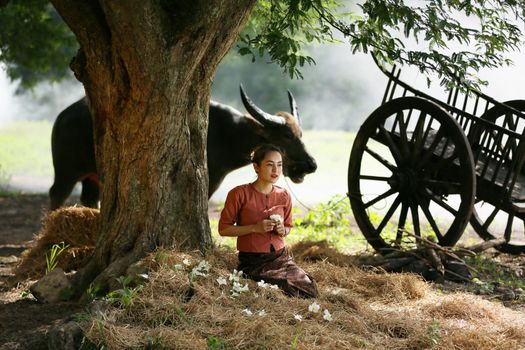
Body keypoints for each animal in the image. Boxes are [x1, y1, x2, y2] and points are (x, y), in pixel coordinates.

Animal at [50, 86, 316, 209]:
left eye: (300, 134)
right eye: (285, 136)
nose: (311, 164)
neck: (229, 134)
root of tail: (61, 117)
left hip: (92, 178)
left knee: (88, 199)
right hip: (66, 172)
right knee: (56, 194)